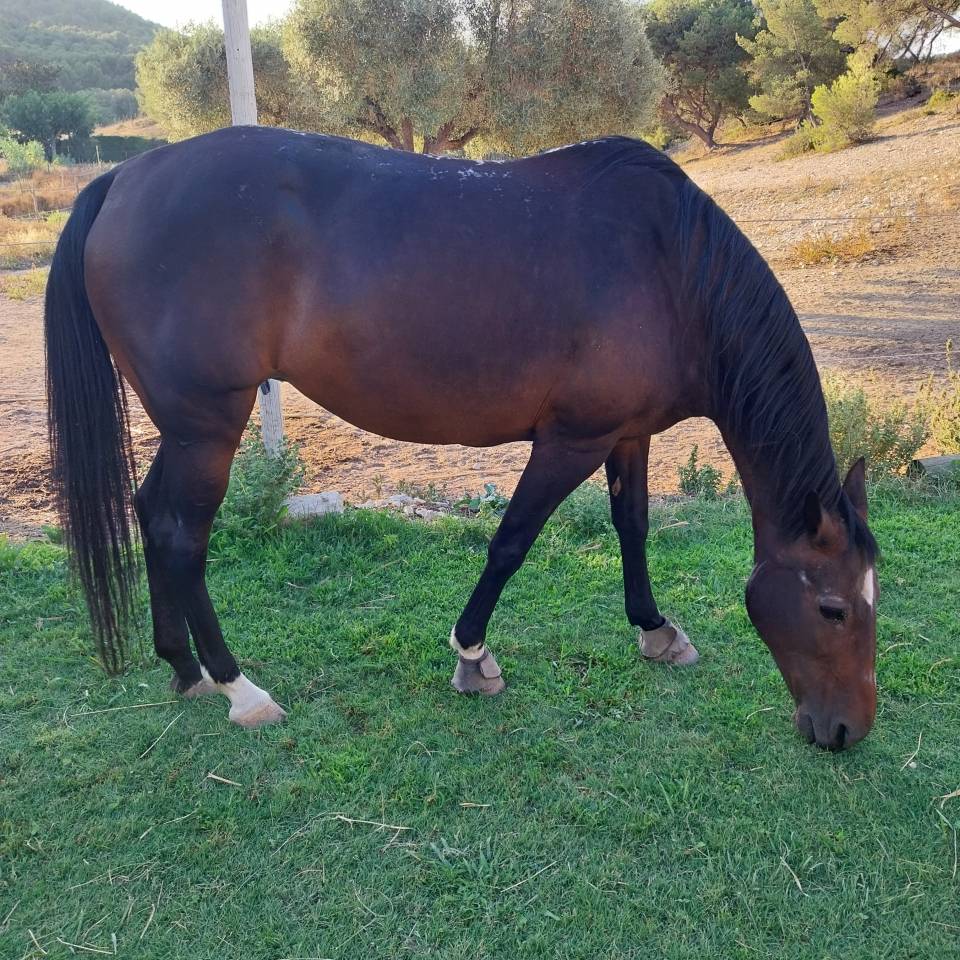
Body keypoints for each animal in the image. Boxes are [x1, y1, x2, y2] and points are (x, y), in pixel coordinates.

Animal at [45, 127, 878, 749]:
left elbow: (632, 526)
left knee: (149, 514)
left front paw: (655, 630)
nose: (847, 730)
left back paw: (182, 667)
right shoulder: (570, 440)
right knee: (181, 535)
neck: (669, 265)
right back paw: (237, 687)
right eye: (834, 608)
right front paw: (473, 656)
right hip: (207, 427)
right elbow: (510, 542)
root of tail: (122, 178)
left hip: (185, 428)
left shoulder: (626, 435)